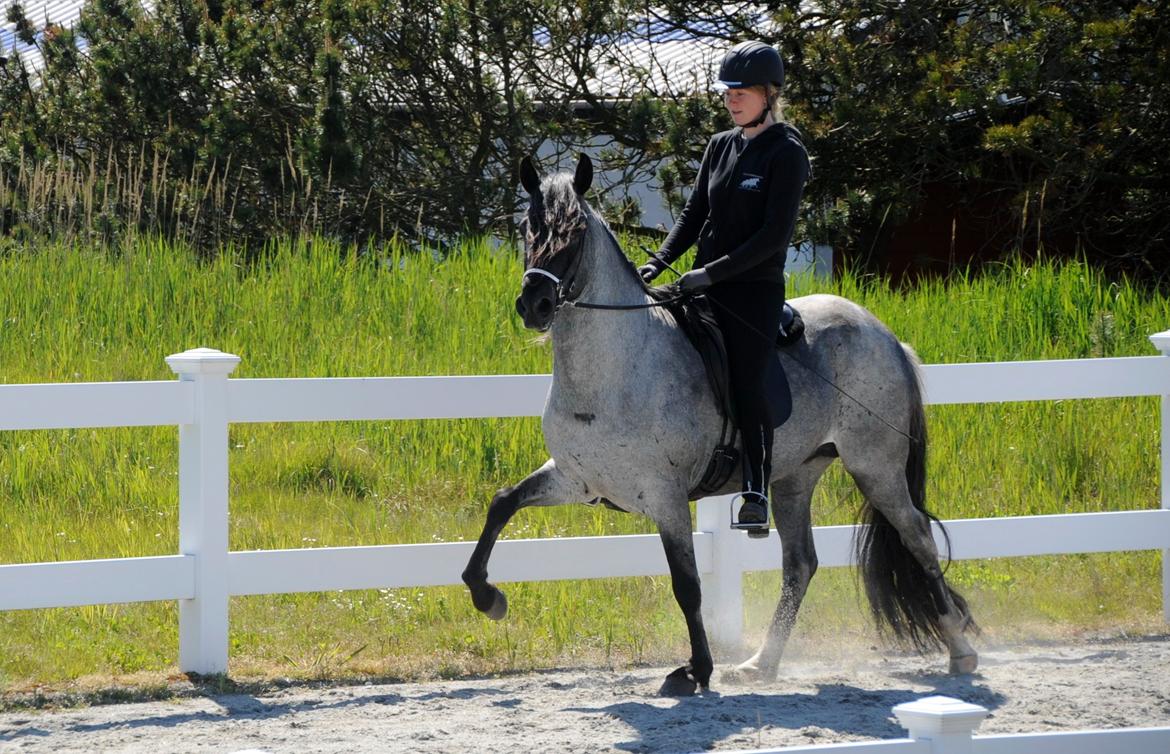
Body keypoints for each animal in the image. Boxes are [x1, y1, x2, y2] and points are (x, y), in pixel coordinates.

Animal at [458, 155, 978, 697]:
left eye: (576, 232)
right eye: (527, 226)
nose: (534, 304)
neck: (615, 370)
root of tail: (884, 334)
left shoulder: (665, 497)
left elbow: (687, 584)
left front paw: (696, 671)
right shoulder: (574, 479)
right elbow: (502, 504)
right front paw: (487, 597)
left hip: (876, 467)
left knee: (917, 537)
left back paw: (960, 651)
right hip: (795, 476)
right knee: (801, 563)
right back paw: (759, 665)